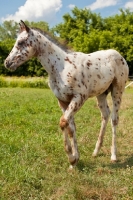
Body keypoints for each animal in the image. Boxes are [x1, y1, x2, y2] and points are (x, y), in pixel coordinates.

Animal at [4, 20, 128, 168]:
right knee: (105, 115)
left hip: (117, 90)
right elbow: (70, 127)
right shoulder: (62, 101)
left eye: (21, 42)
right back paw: (96, 151)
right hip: (101, 93)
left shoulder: (79, 97)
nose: (7, 63)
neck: (61, 67)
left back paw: (113, 155)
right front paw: (74, 160)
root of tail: (119, 56)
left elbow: (63, 122)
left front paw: (71, 157)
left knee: (114, 119)